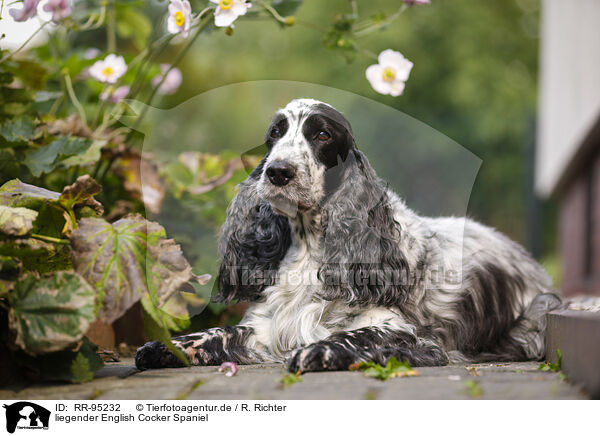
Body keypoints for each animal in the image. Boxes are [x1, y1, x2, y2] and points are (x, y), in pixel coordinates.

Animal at [134, 99, 560, 374]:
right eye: (275, 133)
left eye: (322, 134)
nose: (277, 172)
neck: (310, 247)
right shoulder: (265, 326)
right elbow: (214, 333)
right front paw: (161, 348)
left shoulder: (403, 332)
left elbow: (356, 337)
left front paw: (316, 352)